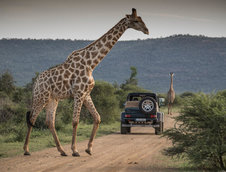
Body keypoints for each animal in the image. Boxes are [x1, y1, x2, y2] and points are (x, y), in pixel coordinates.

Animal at [23, 8, 149, 157]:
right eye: (135, 21)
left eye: (141, 19)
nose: (147, 30)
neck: (91, 64)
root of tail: (36, 82)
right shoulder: (78, 93)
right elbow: (75, 121)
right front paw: (75, 150)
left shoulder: (86, 94)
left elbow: (97, 118)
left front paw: (88, 149)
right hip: (41, 97)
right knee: (32, 118)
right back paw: (26, 150)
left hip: (53, 99)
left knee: (49, 122)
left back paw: (62, 151)